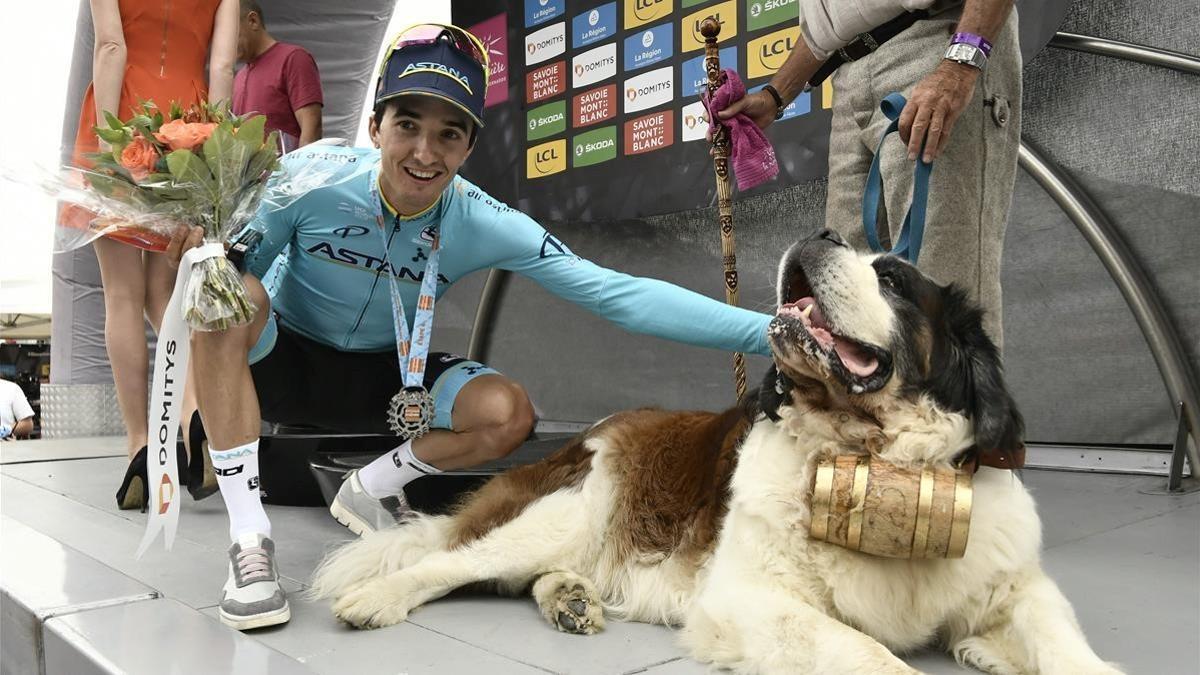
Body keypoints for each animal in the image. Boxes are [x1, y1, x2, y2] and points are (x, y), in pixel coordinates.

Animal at [314, 228, 1118, 667]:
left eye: (891, 279)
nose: (822, 232)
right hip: (567, 508)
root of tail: (596, 427)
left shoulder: (1015, 585)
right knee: (450, 561)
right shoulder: (754, 597)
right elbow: (871, 654)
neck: (872, 455)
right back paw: (376, 598)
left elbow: (1062, 642)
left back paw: (569, 598)